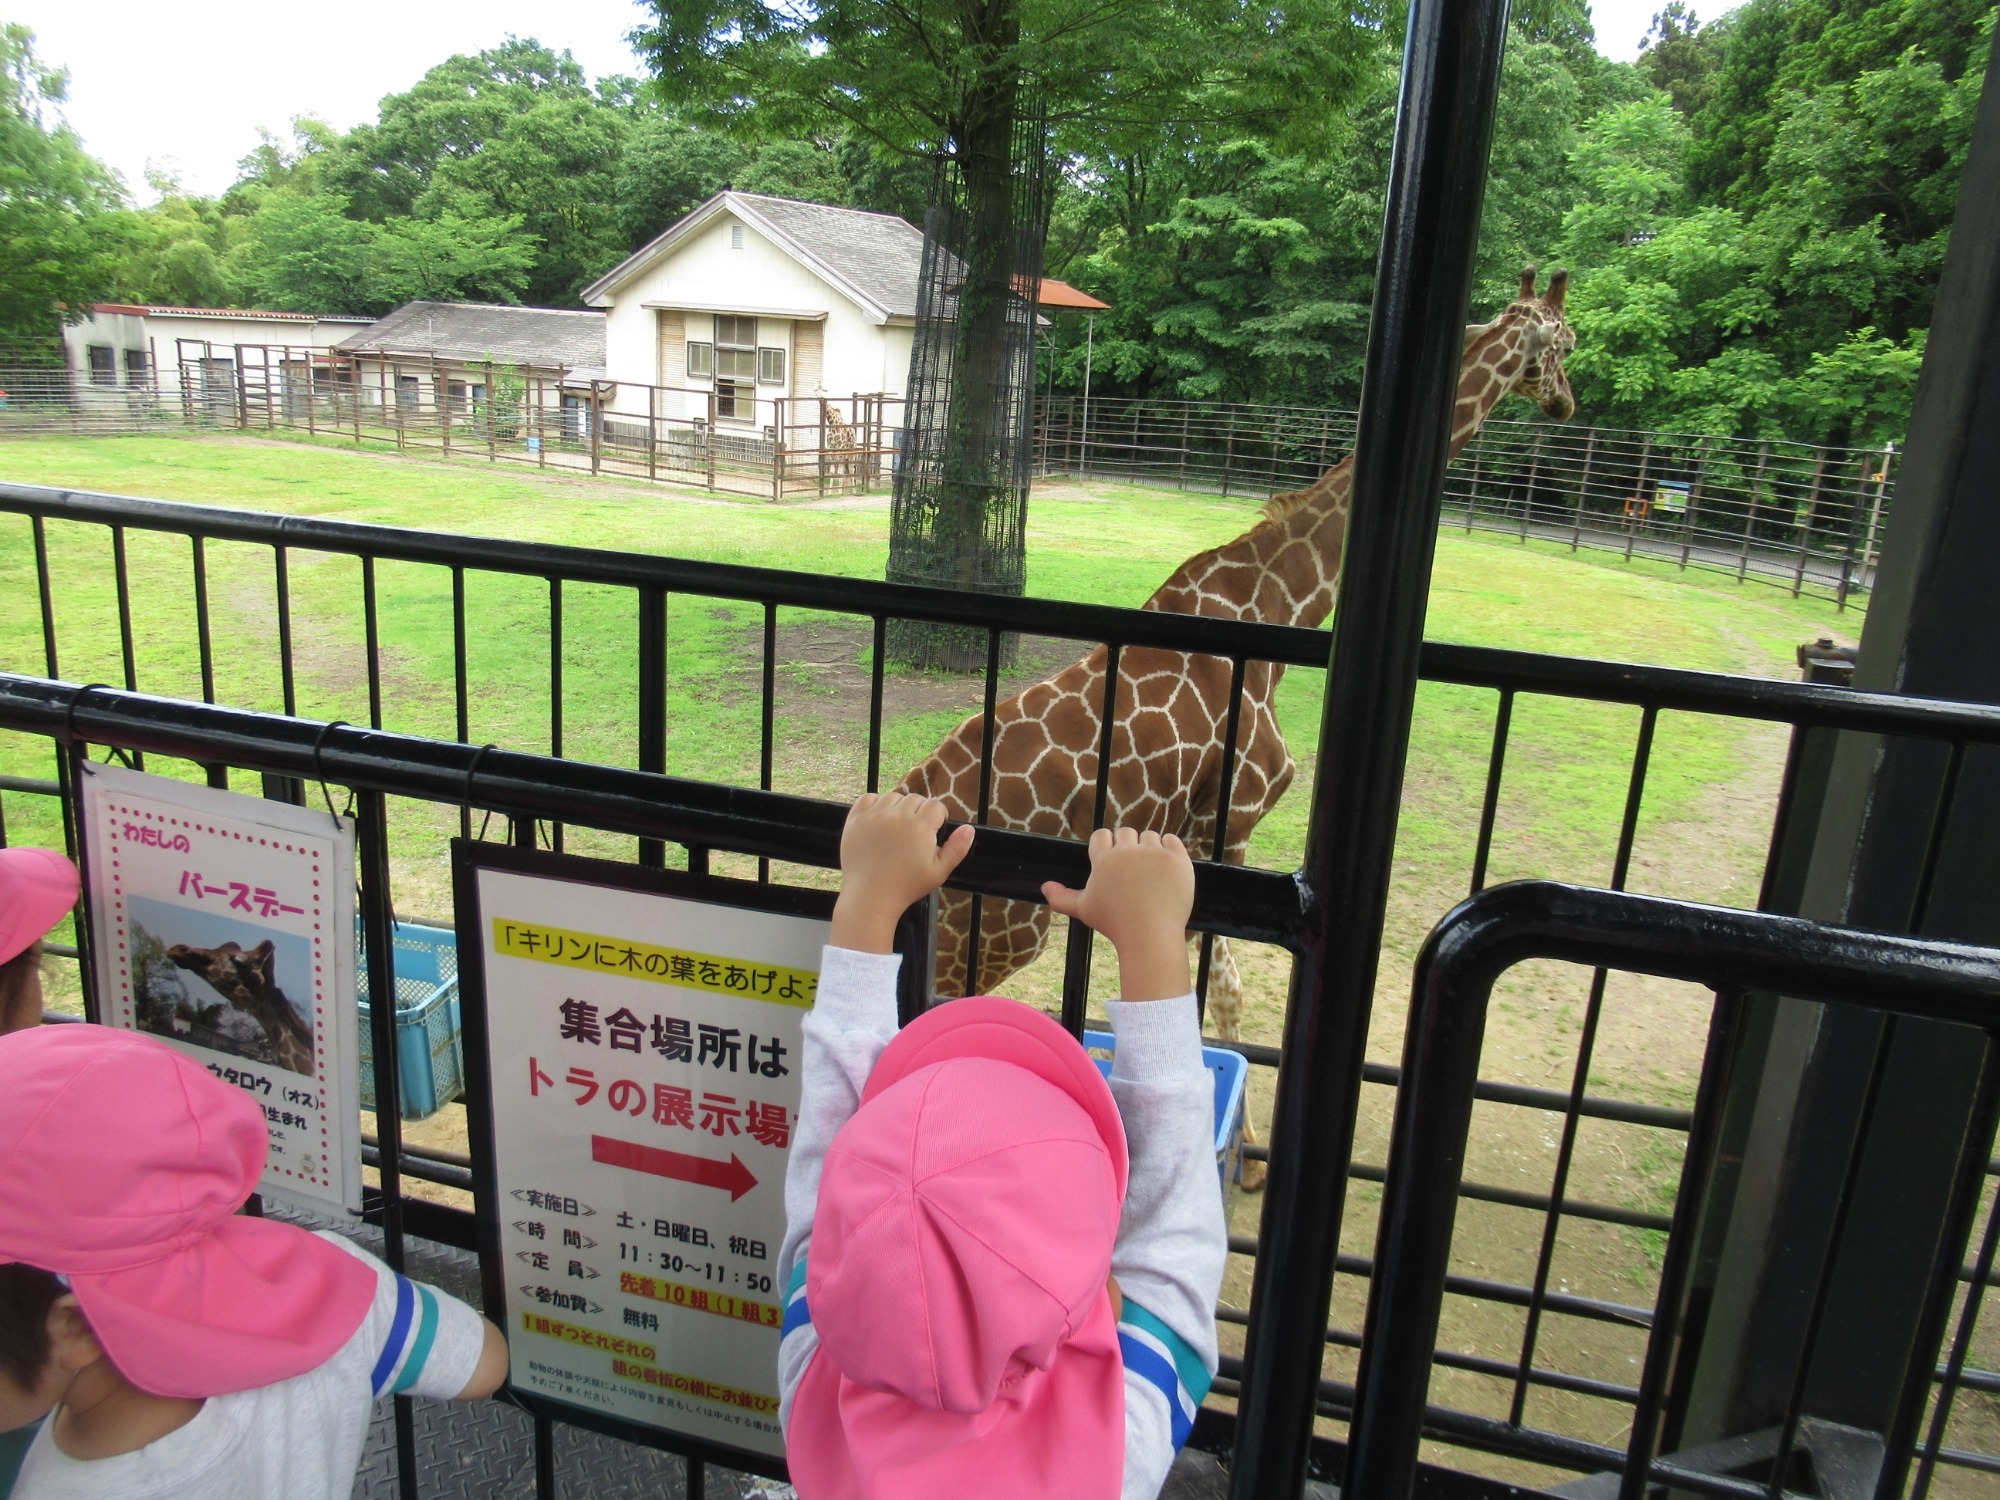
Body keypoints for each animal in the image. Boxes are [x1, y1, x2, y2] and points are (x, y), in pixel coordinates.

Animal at [896, 268, 1576, 1184]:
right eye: (1565, 342)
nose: (1567, 401)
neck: (1277, 608)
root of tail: (912, 787)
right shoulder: (1234, 827)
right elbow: (1225, 994)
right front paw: (1245, 1160)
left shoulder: (1192, 842)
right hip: (1004, 925)